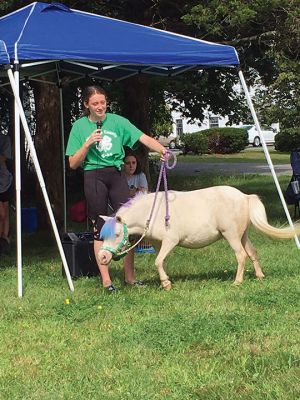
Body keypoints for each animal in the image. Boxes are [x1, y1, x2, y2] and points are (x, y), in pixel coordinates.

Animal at [98, 186, 298, 290]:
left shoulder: (170, 241)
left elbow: (158, 261)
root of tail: (245, 197)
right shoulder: (158, 244)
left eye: (117, 234)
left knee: (241, 255)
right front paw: (166, 280)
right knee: (252, 252)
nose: (103, 257)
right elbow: (161, 261)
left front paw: (166, 284)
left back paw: (237, 282)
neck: (152, 212)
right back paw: (259, 276)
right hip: (243, 235)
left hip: (232, 235)